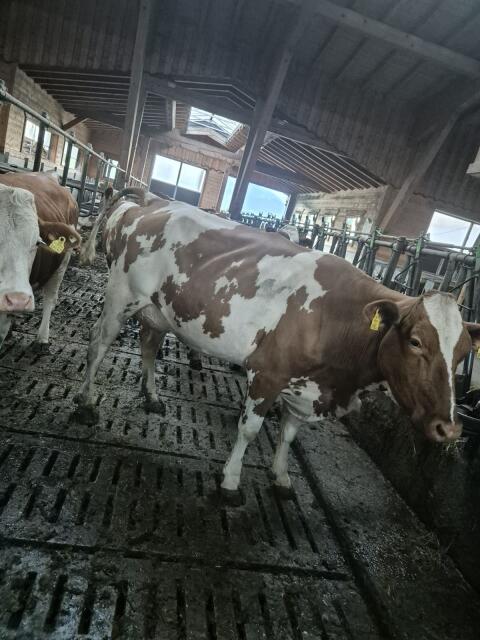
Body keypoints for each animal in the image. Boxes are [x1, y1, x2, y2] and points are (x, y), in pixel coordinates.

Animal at [74, 187, 480, 501]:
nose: (449, 430)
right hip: (121, 296)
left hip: (157, 310)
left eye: (463, 353)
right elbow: (250, 430)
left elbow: (289, 433)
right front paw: (231, 482)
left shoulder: (306, 388)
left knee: (149, 345)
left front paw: (282, 477)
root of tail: (155, 201)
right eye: (415, 341)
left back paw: (152, 396)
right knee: (98, 342)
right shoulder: (267, 373)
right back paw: (87, 402)